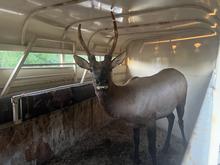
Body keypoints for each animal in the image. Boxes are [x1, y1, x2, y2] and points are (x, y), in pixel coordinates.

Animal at [74, 11, 187, 165]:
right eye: (90, 69)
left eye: (110, 68)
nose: (101, 82)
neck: (127, 105)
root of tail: (181, 74)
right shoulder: (135, 123)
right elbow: (136, 141)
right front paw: (136, 159)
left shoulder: (150, 118)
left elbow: (151, 148)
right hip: (167, 107)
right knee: (172, 118)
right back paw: (165, 147)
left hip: (182, 99)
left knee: (181, 120)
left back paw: (185, 142)